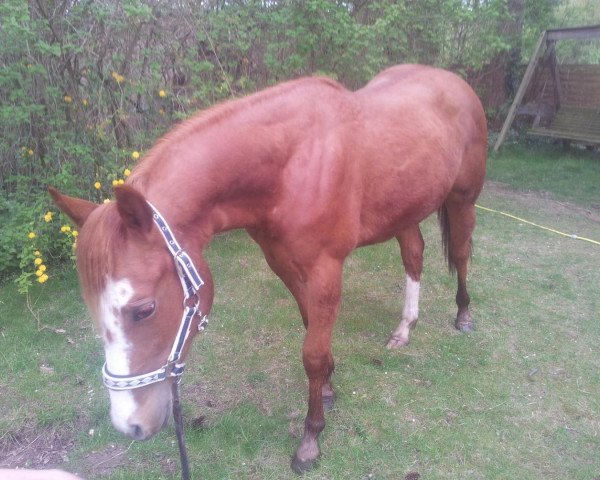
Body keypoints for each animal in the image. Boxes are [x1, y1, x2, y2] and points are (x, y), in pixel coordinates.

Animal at [49, 63, 486, 472]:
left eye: (144, 309)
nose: (130, 424)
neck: (291, 165)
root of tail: (453, 82)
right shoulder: (285, 265)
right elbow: (312, 331)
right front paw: (328, 388)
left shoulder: (326, 270)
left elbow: (312, 353)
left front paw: (311, 440)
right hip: (404, 210)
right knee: (414, 254)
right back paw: (405, 327)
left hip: (462, 200)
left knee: (461, 253)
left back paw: (463, 315)